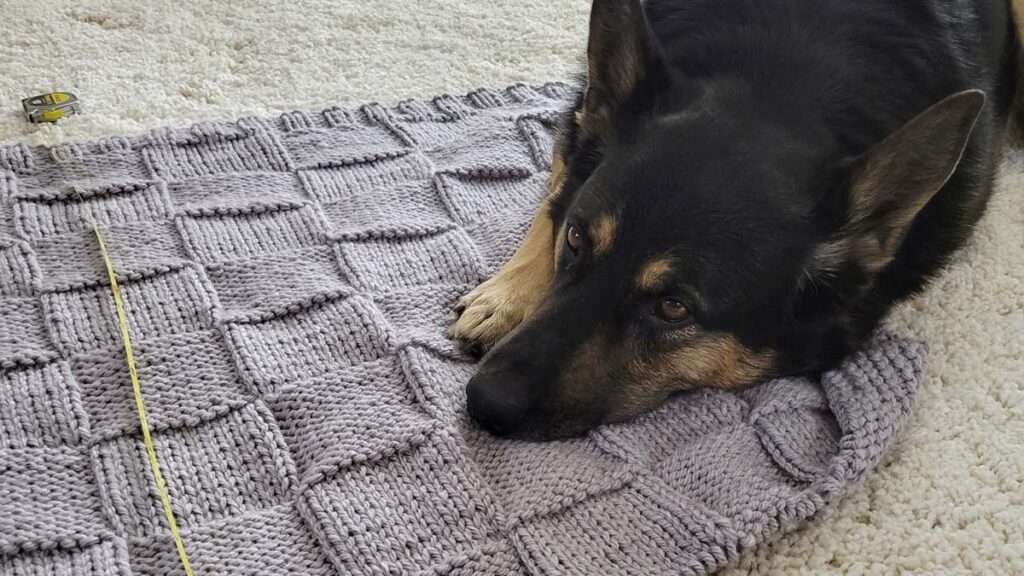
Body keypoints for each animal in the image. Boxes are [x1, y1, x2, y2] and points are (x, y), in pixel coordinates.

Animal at [450, 0, 1024, 436]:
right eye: (575, 239)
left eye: (674, 308)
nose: (482, 402)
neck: (783, 81)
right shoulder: (576, 130)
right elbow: (554, 195)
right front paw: (507, 297)